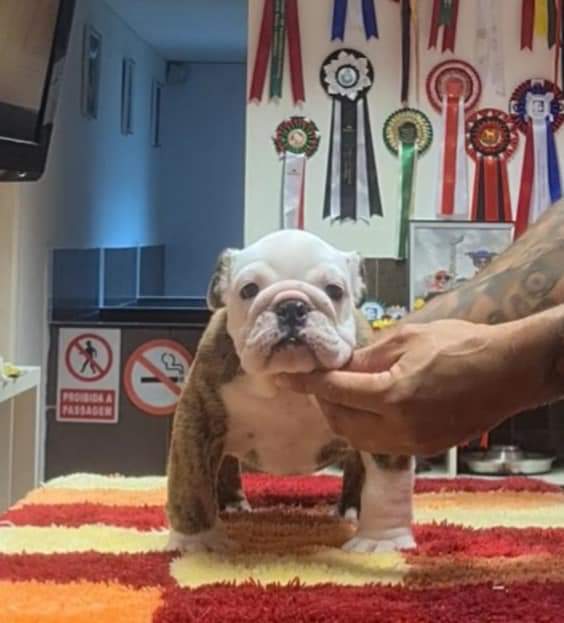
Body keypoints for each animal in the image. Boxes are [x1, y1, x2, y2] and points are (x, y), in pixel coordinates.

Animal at [166, 229, 415, 554]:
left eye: (335, 290)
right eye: (248, 290)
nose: (292, 306)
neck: (285, 383)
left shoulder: (382, 419)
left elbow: (387, 486)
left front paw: (382, 540)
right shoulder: (199, 419)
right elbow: (191, 484)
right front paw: (196, 542)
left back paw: (350, 509)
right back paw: (231, 505)